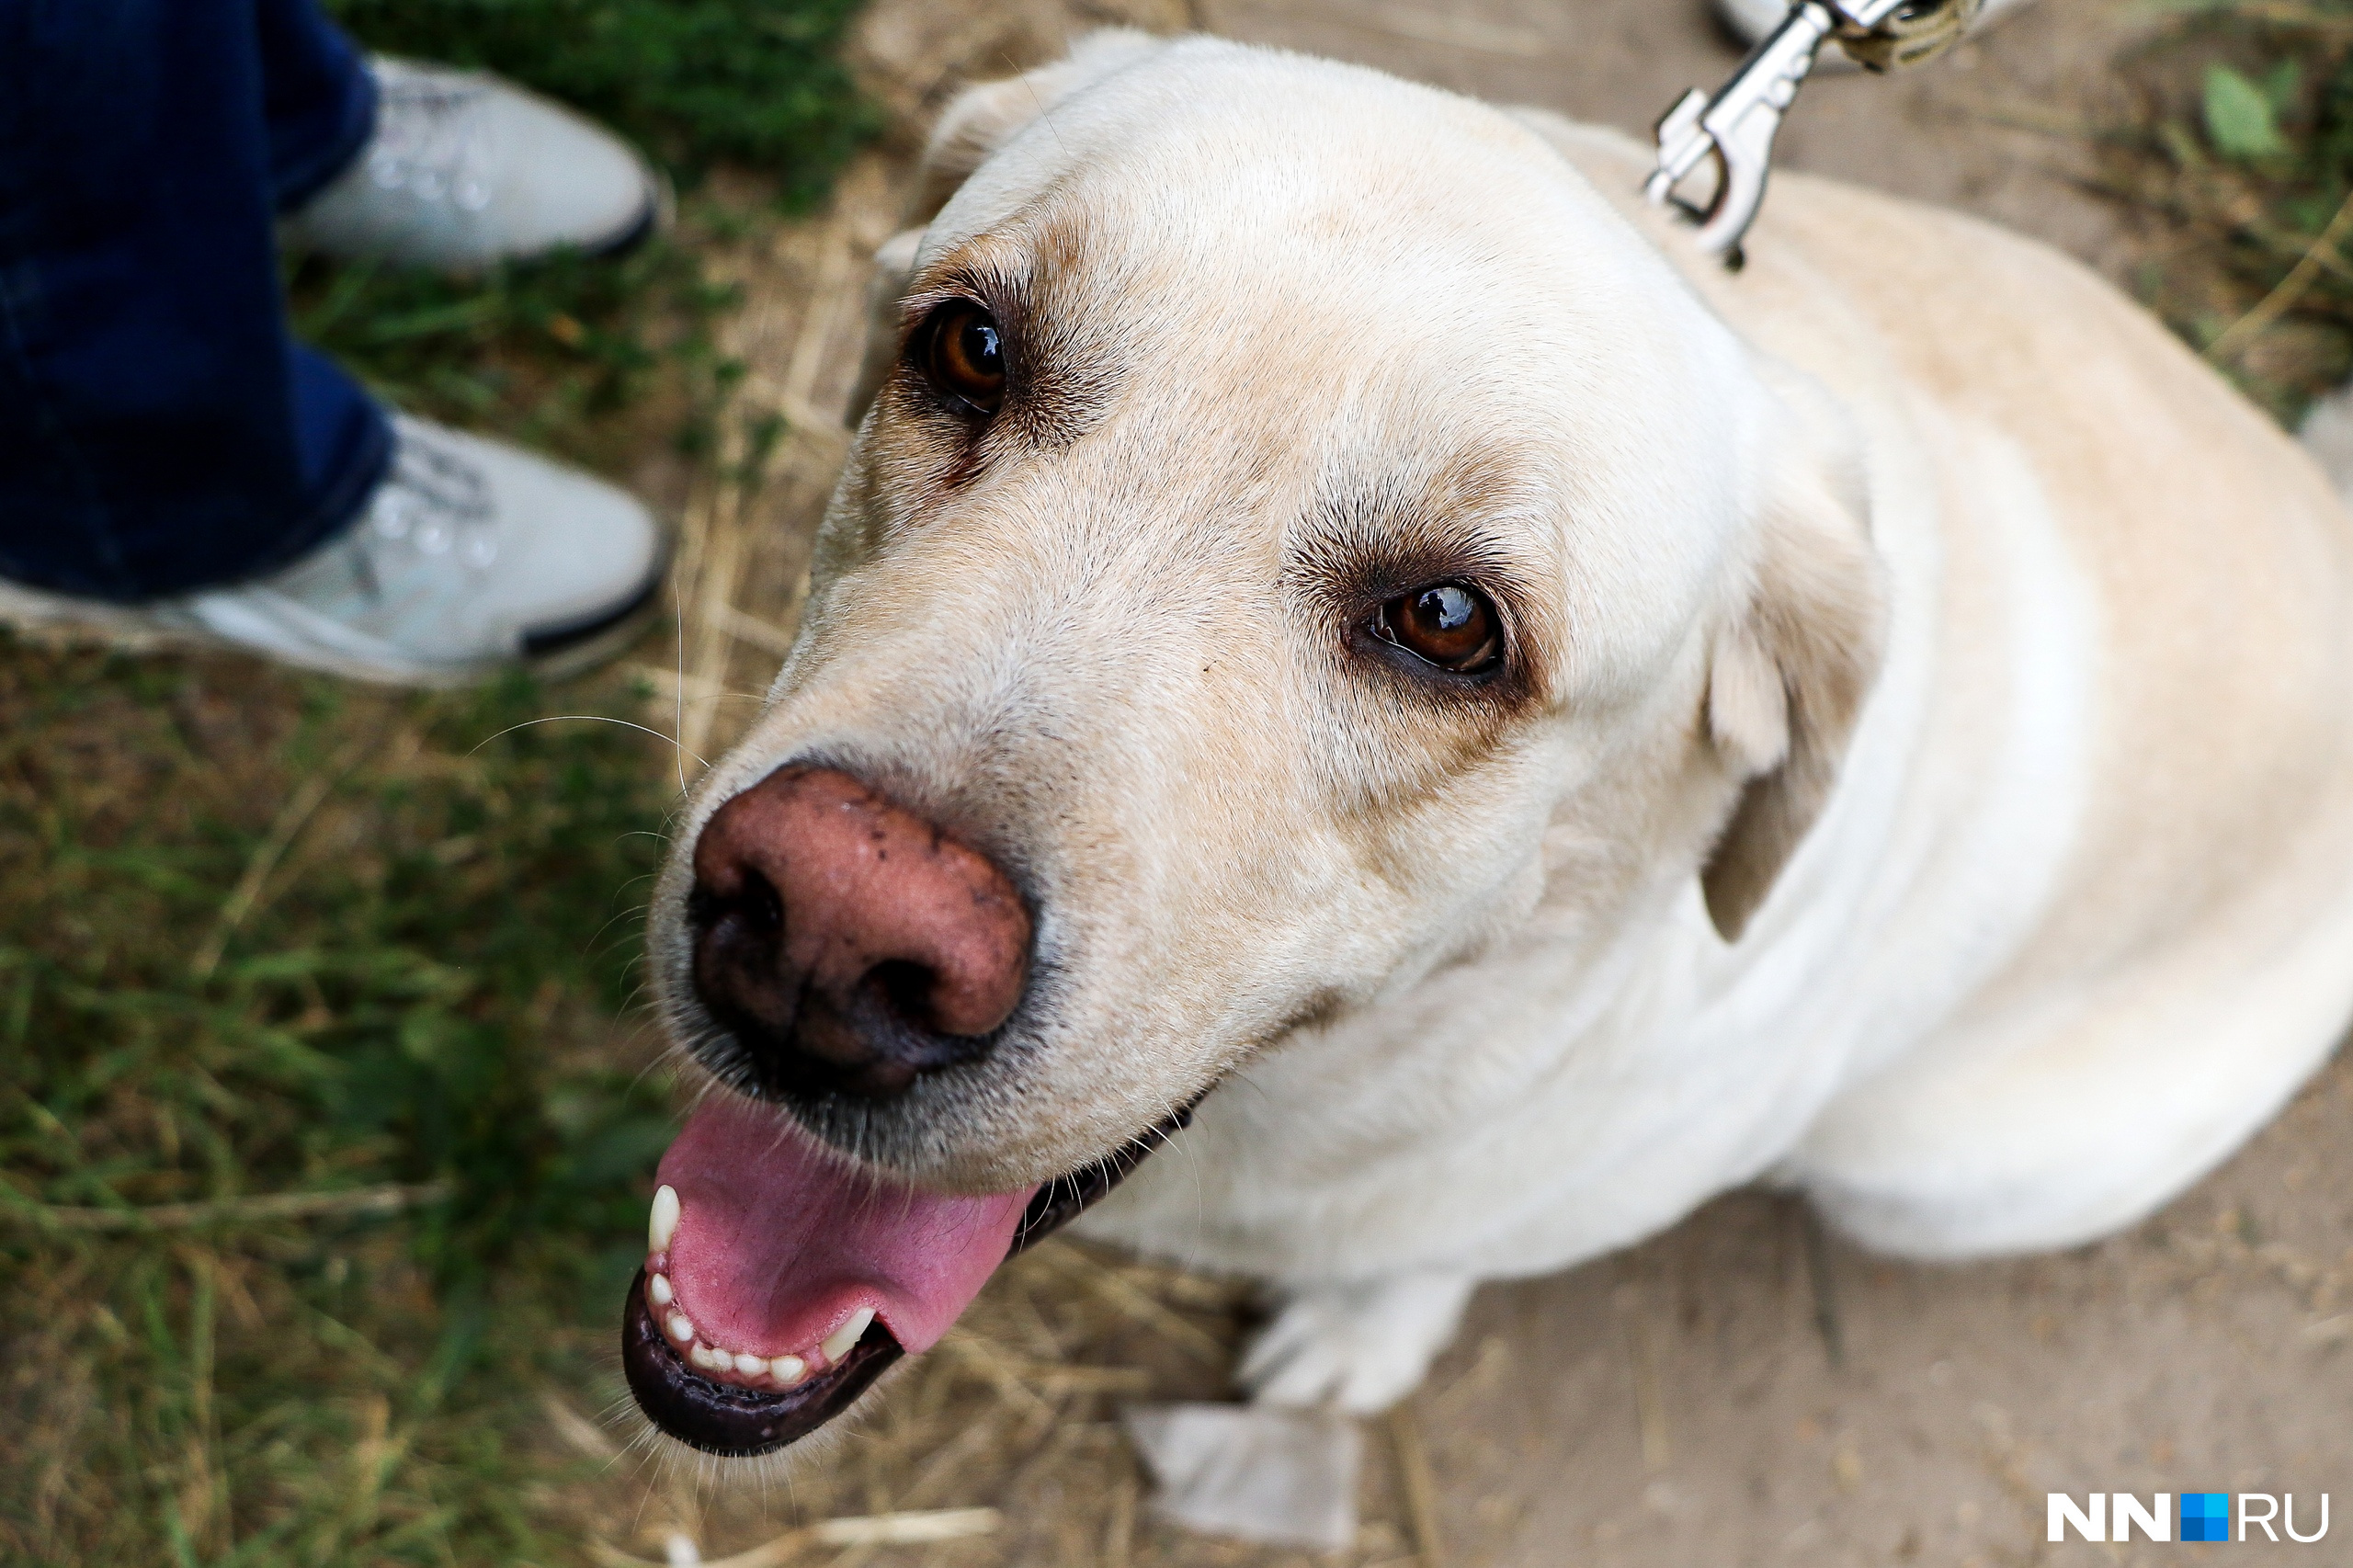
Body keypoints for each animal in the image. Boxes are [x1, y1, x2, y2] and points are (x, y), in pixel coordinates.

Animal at [620, 33, 2353, 1449]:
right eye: (971, 350)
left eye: (1449, 621)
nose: (832, 930)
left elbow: (1429, 1254)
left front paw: (1359, 1335)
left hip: (1926, 1176)